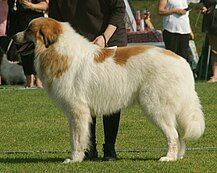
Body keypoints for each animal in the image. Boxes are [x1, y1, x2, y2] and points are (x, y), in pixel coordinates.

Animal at [13, 17, 205, 164]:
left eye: (29, 29)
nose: (14, 36)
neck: (57, 50)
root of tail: (181, 61)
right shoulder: (77, 114)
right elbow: (81, 137)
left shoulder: (77, 111)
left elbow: (76, 139)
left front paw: (74, 160)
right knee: (179, 135)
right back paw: (178, 156)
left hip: (156, 107)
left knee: (173, 135)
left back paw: (168, 158)